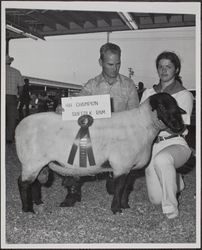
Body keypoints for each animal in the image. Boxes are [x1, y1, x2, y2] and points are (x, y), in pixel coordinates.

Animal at [15, 93, 185, 214]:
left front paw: (126, 206)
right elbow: (119, 188)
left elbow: (126, 189)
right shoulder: (121, 165)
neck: (144, 125)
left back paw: (38, 203)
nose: (179, 126)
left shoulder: (129, 168)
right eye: (162, 106)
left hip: (38, 163)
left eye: (177, 108)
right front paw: (116, 209)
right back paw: (27, 210)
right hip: (31, 162)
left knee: (35, 183)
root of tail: (19, 126)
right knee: (23, 183)